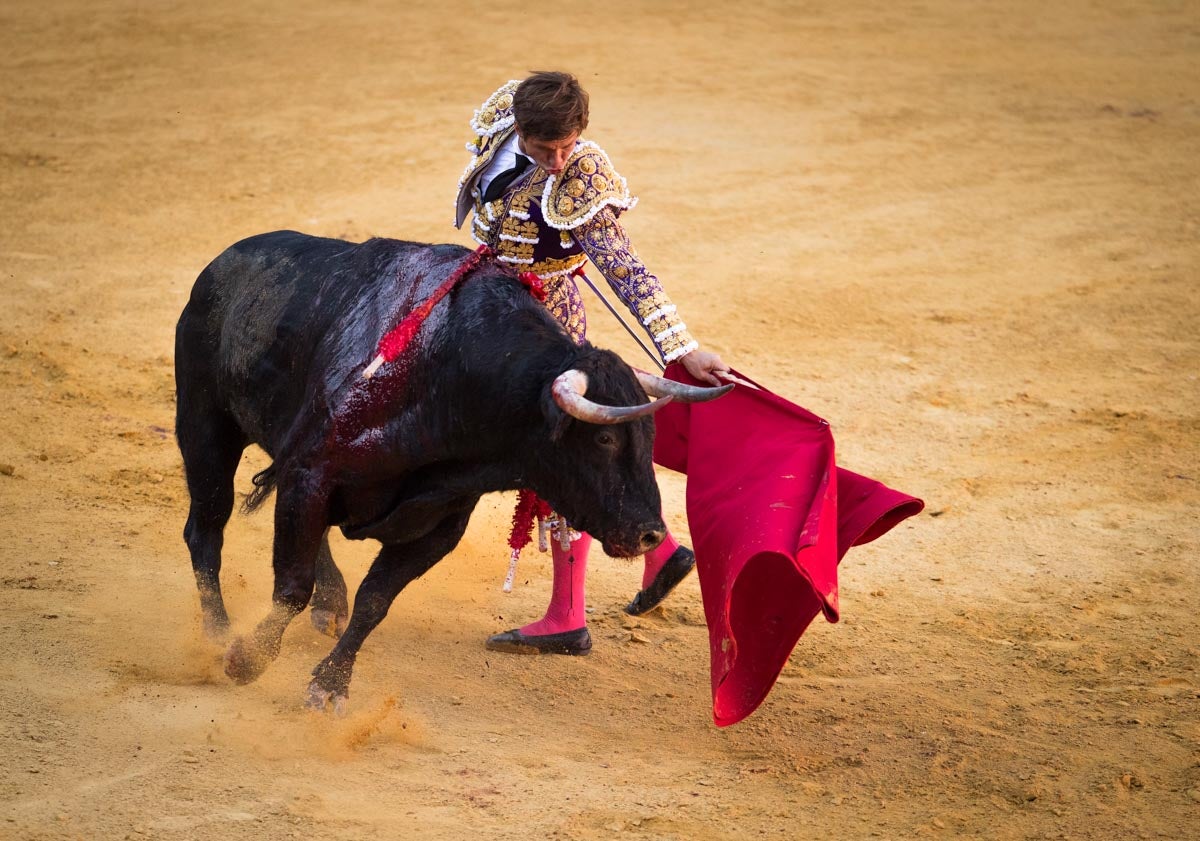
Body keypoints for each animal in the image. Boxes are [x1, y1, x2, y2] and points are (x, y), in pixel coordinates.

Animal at [174, 229, 724, 710]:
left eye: (649, 438)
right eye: (605, 438)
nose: (651, 534)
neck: (448, 376)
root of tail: (220, 264)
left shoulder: (439, 524)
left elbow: (375, 601)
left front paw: (330, 686)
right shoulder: (310, 476)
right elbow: (291, 586)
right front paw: (246, 661)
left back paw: (327, 605)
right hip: (205, 426)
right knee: (206, 530)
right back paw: (216, 636)